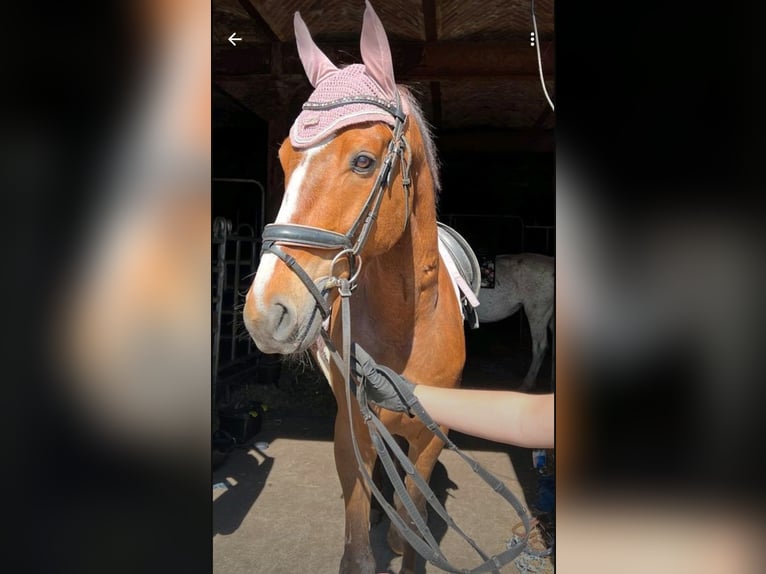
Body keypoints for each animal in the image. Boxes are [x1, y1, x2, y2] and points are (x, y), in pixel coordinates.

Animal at [243, 4, 468, 573]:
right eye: (284, 158)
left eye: (364, 161)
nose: (264, 313)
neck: (407, 323)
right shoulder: (352, 431)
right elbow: (358, 547)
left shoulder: (430, 440)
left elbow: (415, 530)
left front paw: (404, 538)